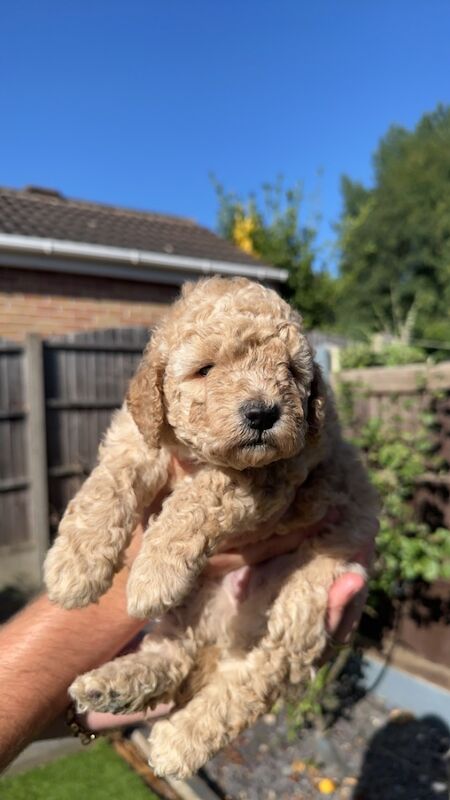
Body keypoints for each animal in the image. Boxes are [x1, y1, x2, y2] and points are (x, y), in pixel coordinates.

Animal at [44, 278, 376, 780]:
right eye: (205, 369)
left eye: (291, 372)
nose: (263, 413)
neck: (194, 451)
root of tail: (221, 633)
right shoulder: (136, 438)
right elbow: (105, 484)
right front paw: (73, 568)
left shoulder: (272, 474)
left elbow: (199, 498)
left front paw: (153, 574)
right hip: (191, 607)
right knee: (172, 655)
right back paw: (111, 685)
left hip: (307, 595)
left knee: (257, 674)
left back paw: (181, 741)